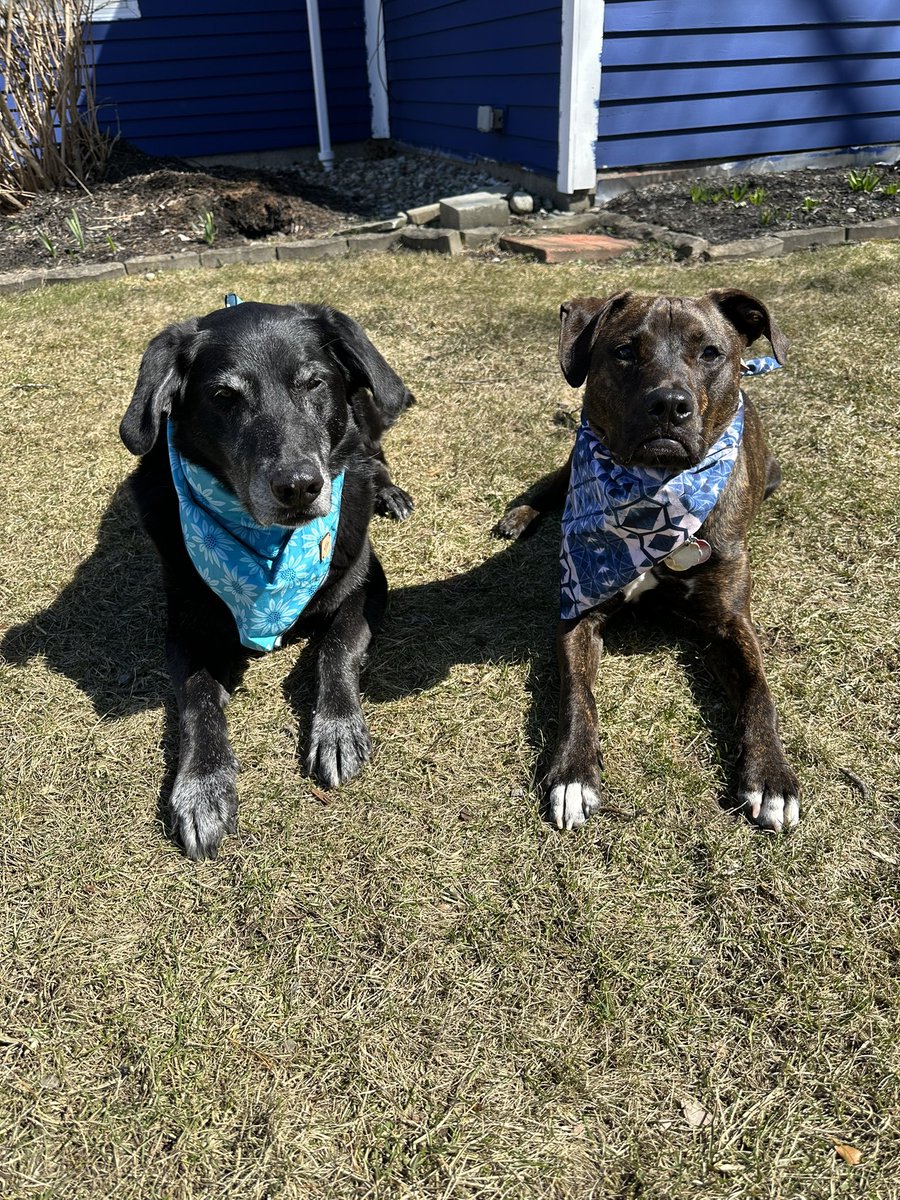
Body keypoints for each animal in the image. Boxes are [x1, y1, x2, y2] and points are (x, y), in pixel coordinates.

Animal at [120, 304, 415, 859]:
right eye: (223, 397)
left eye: (314, 383)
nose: (299, 486)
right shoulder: (186, 629)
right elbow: (196, 699)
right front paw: (201, 785)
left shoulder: (366, 583)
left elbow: (337, 647)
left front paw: (337, 728)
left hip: (369, 414)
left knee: (373, 452)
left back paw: (389, 491)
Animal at [496, 290, 801, 835]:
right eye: (623, 352)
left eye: (710, 353)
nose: (669, 404)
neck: (655, 496)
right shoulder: (578, 609)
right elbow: (577, 694)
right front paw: (573, 773)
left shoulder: (729, 621)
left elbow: (759, 691)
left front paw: (771, 776)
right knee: (555, 479)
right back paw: (519, 514)